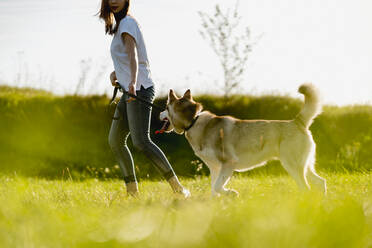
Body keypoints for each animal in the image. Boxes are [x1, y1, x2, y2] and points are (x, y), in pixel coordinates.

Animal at [158, 84, 326, 197]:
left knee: (306, 187)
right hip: (304, 166)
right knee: (320, 182)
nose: (158, 114)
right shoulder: (215, 168)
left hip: (292, 165)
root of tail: (297, 121)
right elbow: (214, 189)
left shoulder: (228, 164)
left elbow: (218, 187)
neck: (194, 121)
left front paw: (231, 193)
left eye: (165, 107)